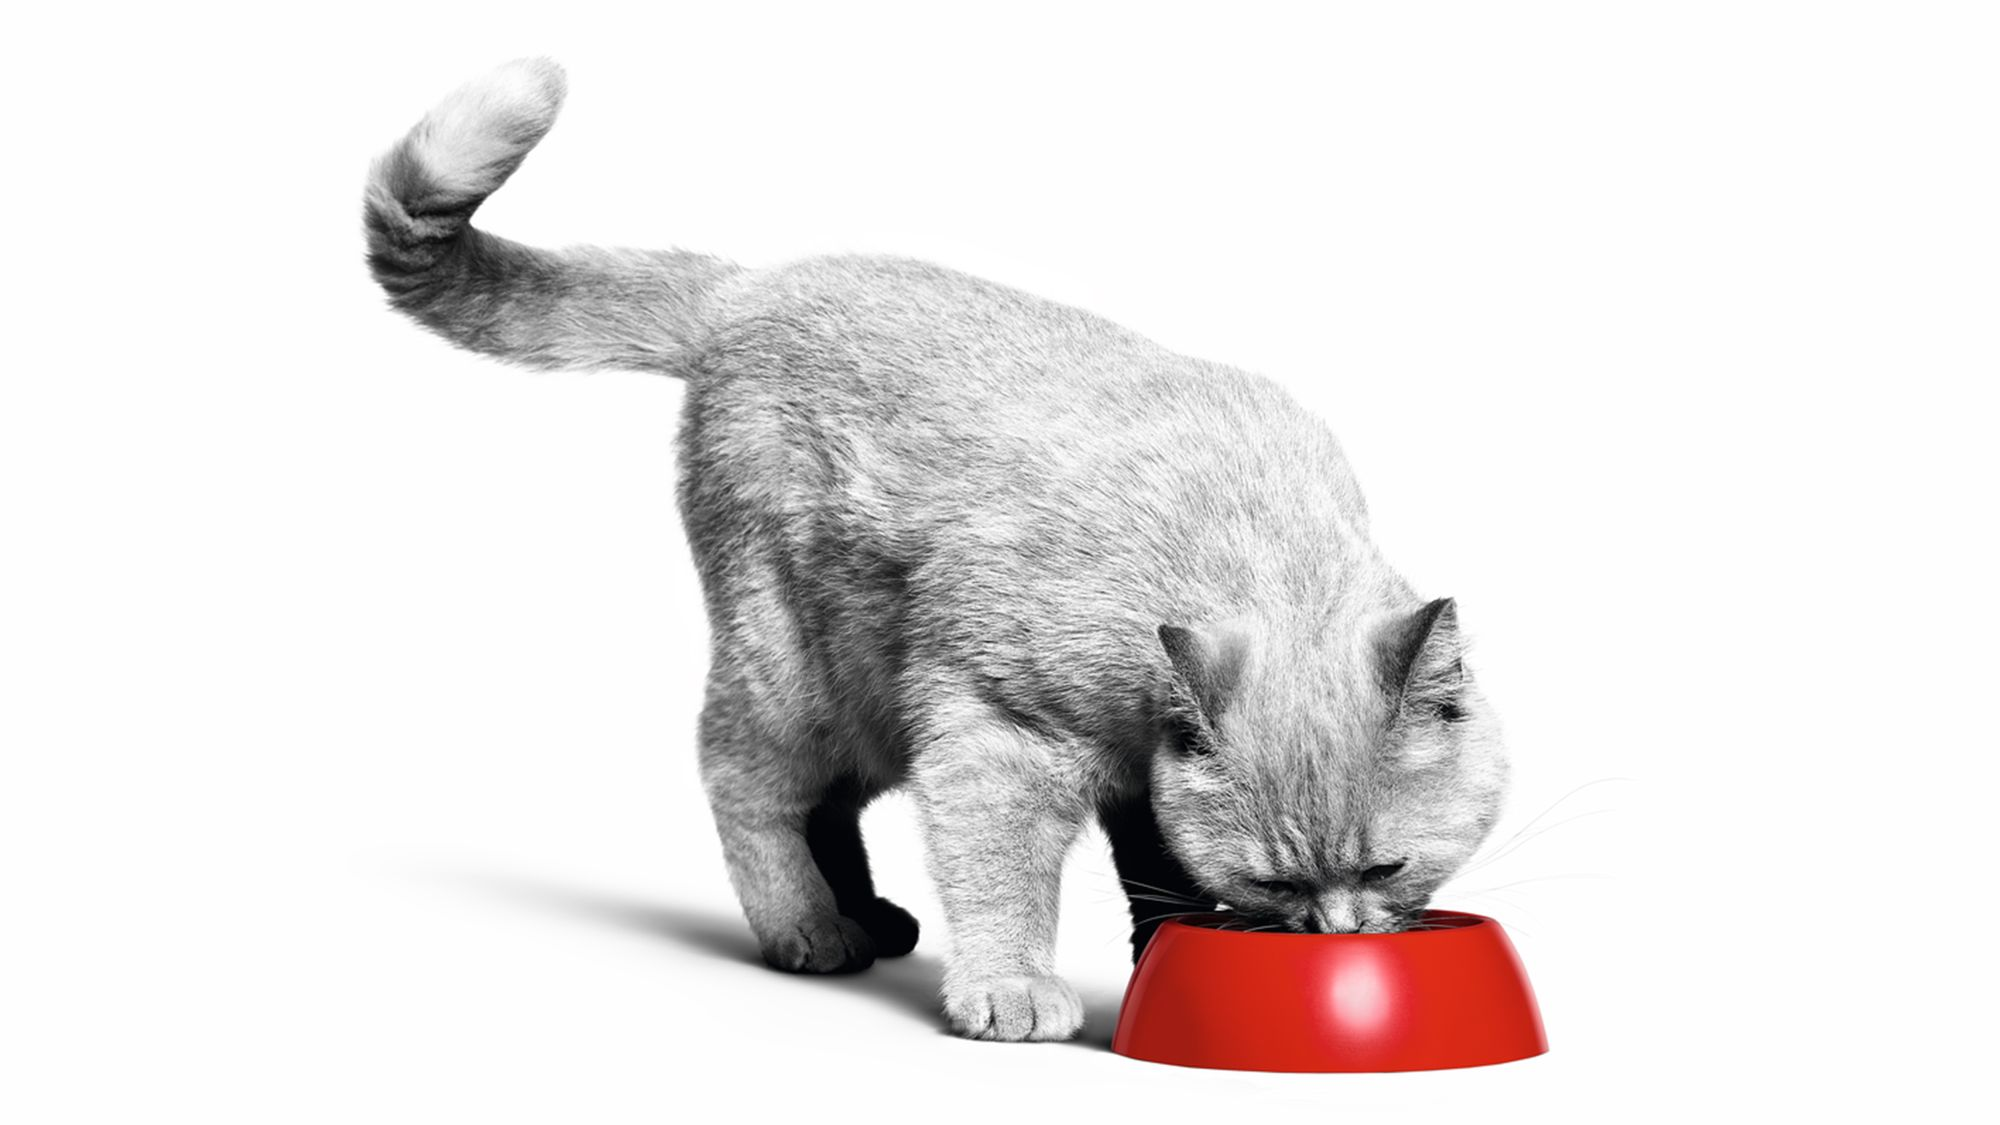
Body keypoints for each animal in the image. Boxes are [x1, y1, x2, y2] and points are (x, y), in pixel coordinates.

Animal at [368, 63, 1504, 1040]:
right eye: (1277, 882)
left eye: (1387, 869)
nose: (1332, 934)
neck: (1236, 546)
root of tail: (749, 288)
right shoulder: (995, 736)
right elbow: (1003, 875)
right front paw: (1012, 987)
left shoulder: (1139, 774)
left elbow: (1158, 870)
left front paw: (1162, 951)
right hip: (799, 671)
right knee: (744, 778)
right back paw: (808, 926)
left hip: (860, 689)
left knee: (824, 805)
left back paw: (863, 913)